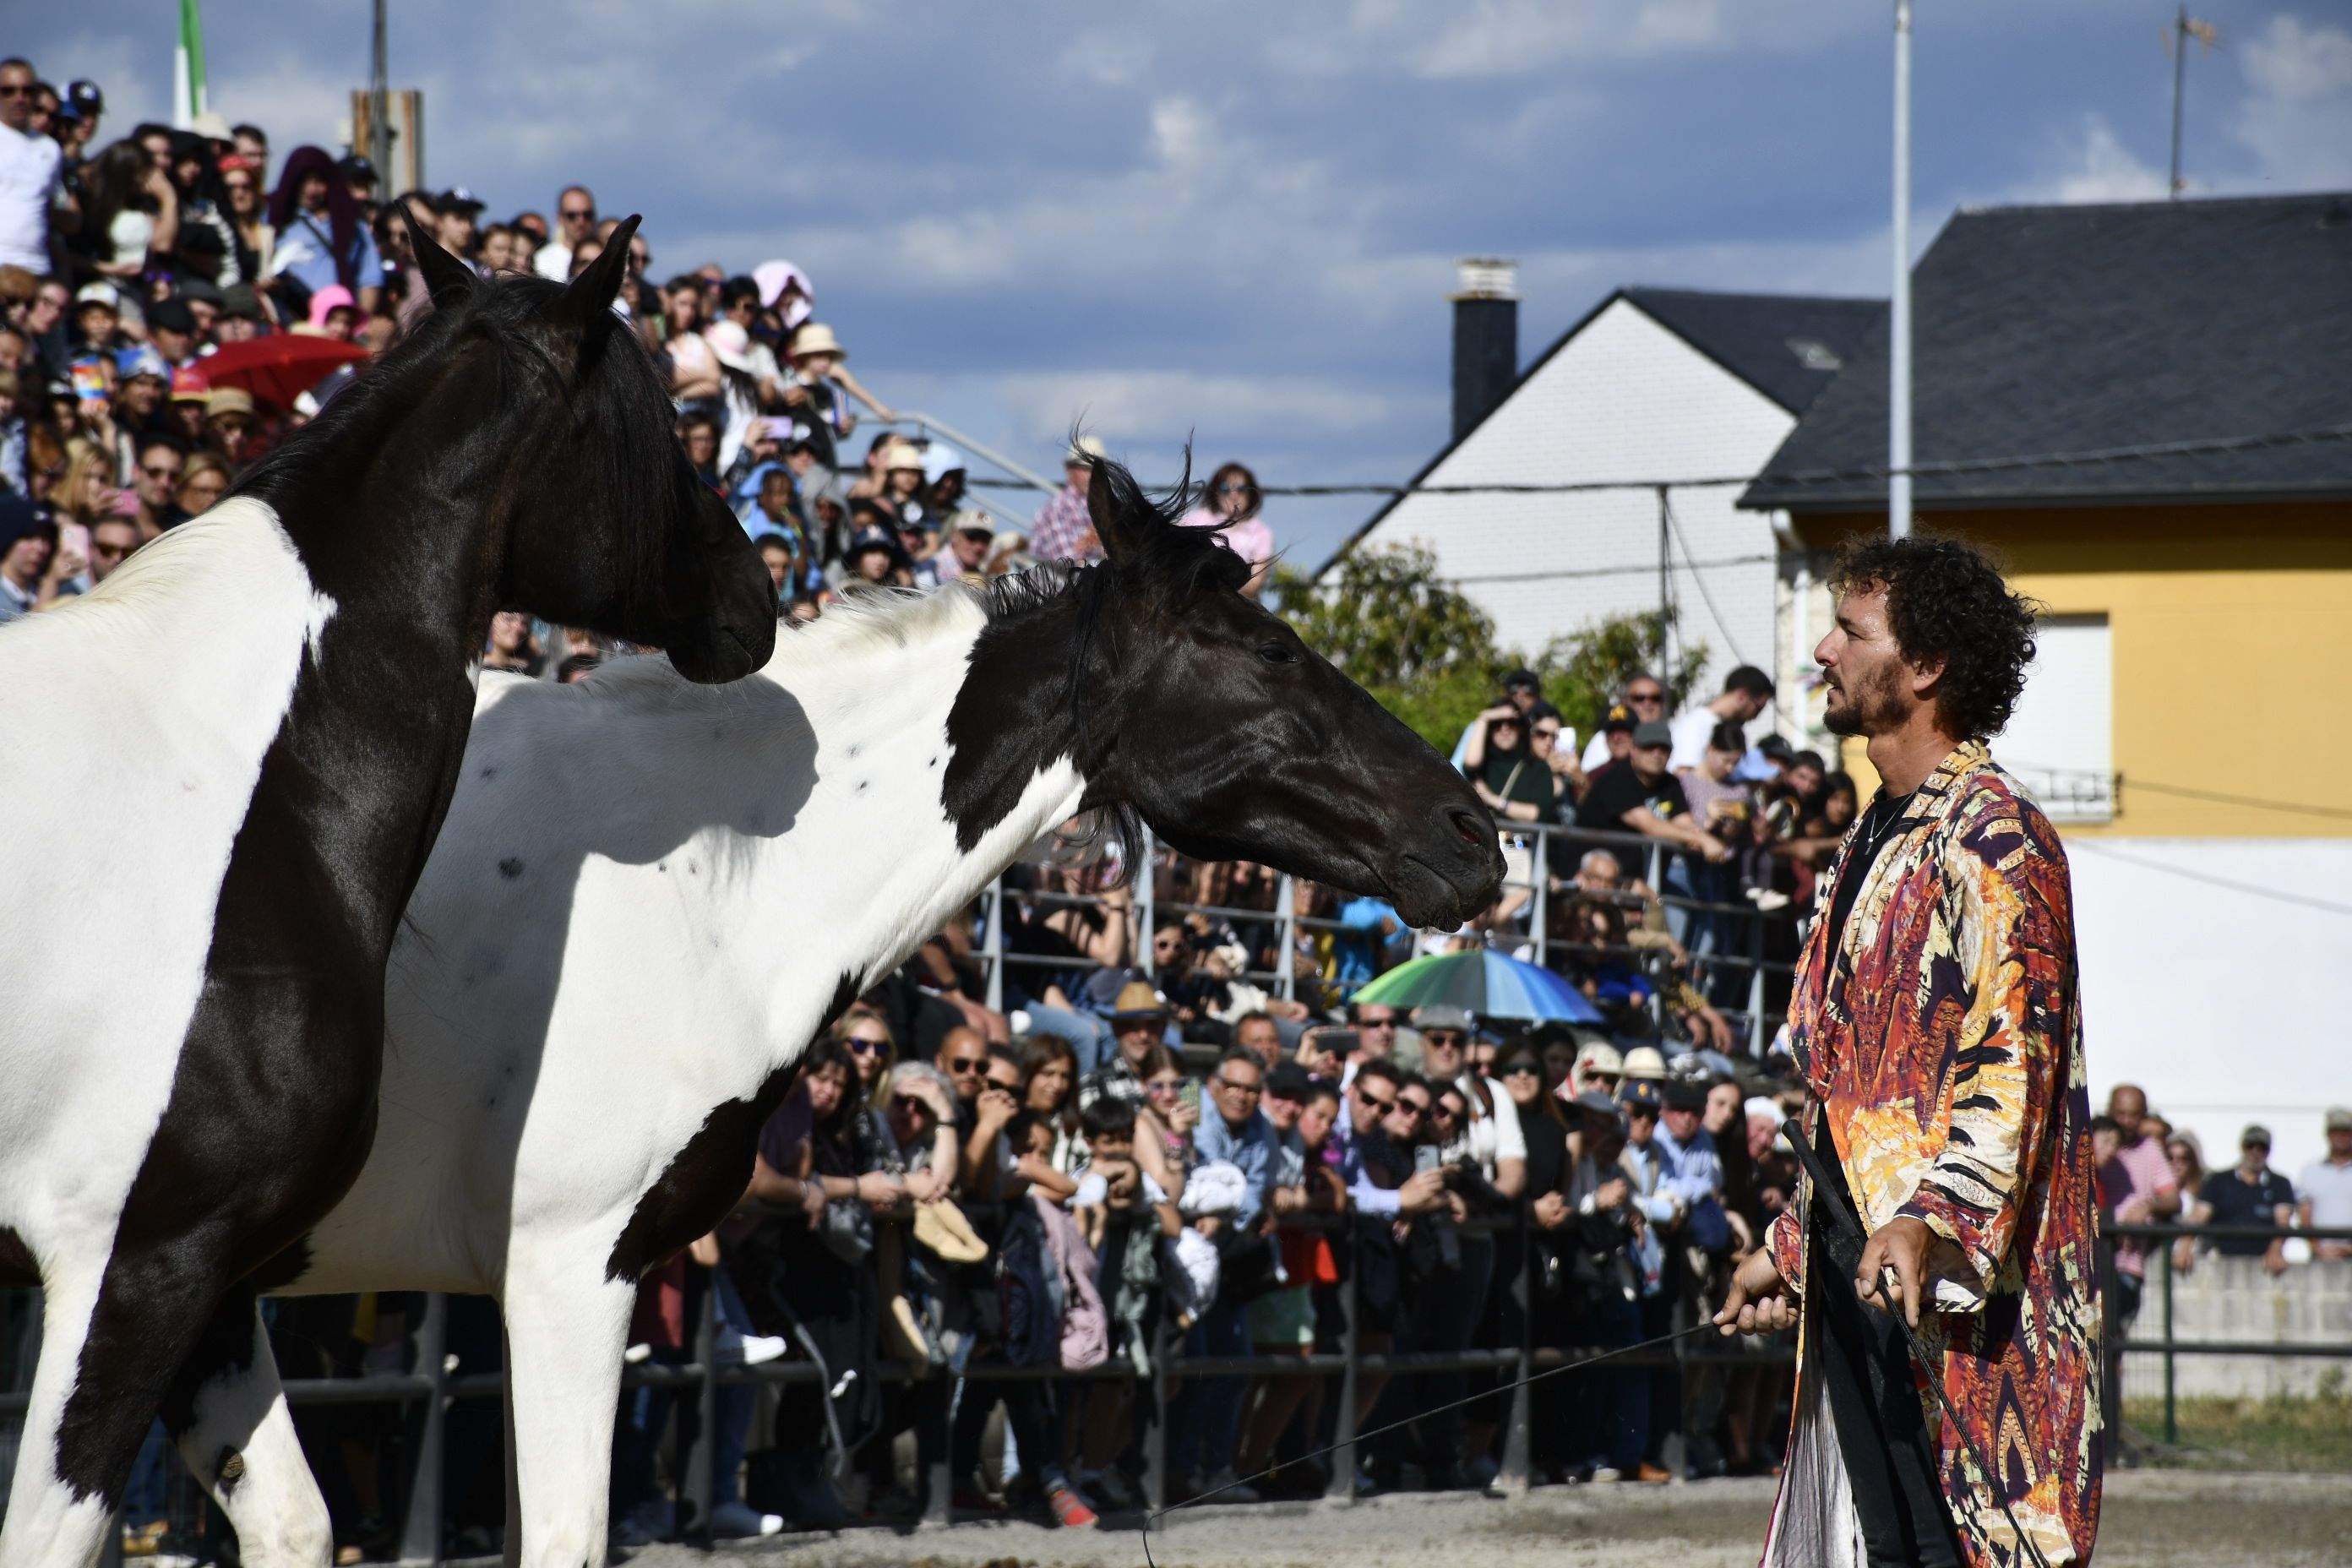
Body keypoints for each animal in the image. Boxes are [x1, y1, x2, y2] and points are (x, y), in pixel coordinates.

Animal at [0, 215, 776, 1560]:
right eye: (661, 424)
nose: (759, 598)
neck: (234, 785)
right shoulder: (127, 1259)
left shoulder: (209, 1278)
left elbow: (293, 1521)